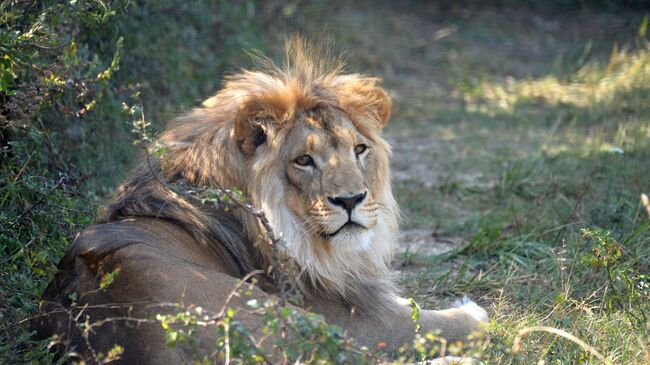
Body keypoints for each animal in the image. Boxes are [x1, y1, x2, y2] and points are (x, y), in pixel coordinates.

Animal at [33, 38, 484, 362]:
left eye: (359, 149)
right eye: (304, 160)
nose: (352, 199)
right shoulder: (357, 320)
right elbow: (434, 323)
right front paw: (471, 312)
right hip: (281, 315)